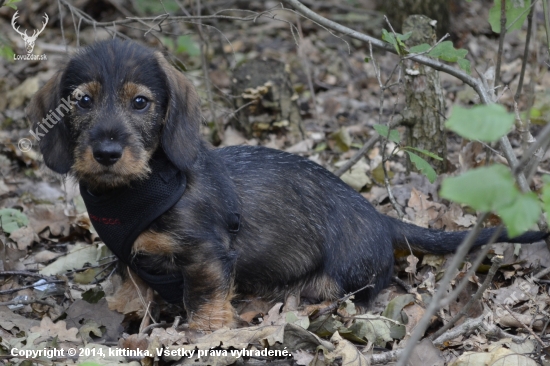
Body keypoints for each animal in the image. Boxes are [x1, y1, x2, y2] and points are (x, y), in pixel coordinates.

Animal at [29, 38, 548, 330]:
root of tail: (379, 217)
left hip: (341, 277)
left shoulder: (207, 254)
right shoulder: (131, 259)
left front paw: (205, 335)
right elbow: (131, 290)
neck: (136, 190)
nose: (107, 152)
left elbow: (205, 301)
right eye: (81, 100)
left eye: (140, 102)